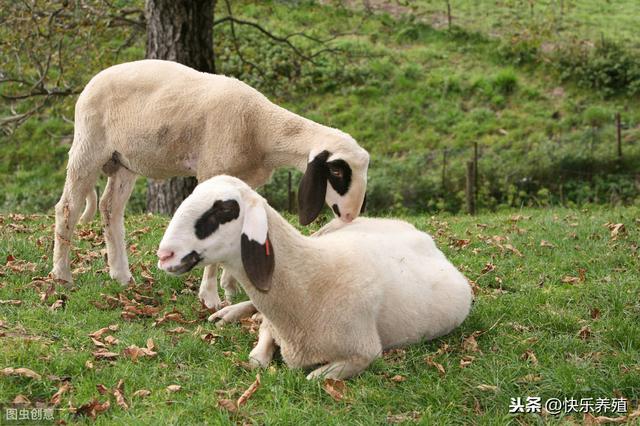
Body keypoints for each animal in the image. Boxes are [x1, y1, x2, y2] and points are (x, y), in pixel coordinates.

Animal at [51, 58, 370, 308]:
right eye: (337, 171)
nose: (350, 215)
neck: (261, 128)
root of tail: (93, 81)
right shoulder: (212, 172)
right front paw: (210, 297)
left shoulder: (245, 181)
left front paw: (231, 289)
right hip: (89, 145)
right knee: (67, 208)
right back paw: (62, 276)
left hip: (125, 160)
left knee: (110, 208)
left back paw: (121, 275)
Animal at [158, 176, 472, 380]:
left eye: (224, 208)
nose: (164, 254)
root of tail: (425, 238)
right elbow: (257, 357)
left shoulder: (364, 353)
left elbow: (314, 377)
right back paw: (229, 313)